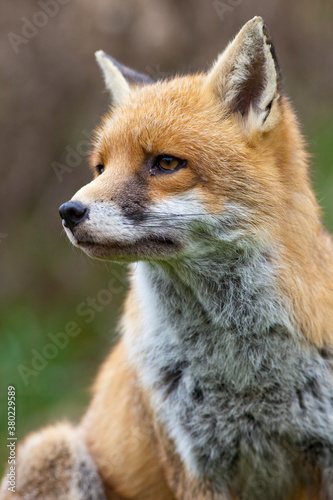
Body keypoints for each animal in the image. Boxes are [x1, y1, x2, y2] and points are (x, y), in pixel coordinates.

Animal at [0, 15, 332, 500]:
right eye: (100, 167)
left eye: (167, 163)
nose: (68, 212)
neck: (245, 367)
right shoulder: (195, 464)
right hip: (54, 447)